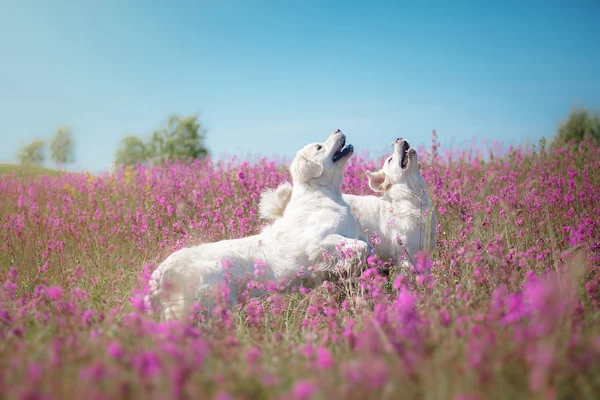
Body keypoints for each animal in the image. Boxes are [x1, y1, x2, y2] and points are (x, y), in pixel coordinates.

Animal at [146, 130, 370, 320]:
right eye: (319, 147)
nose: (338, 130)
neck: (325, 194)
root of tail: (163, 269)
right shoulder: (318, 242)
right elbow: (361, 247)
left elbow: (366, 243)